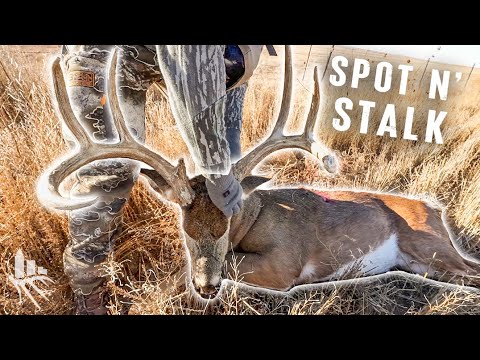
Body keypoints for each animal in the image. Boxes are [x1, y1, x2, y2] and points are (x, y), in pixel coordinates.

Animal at [38, 45, 480, 300]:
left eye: (227, 224)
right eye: (184, 228)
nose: (207, 287)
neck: (256, 216)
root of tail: (434, 208)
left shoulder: (284, 264)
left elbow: (232, 264)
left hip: (429, 246)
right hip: (421, 261)